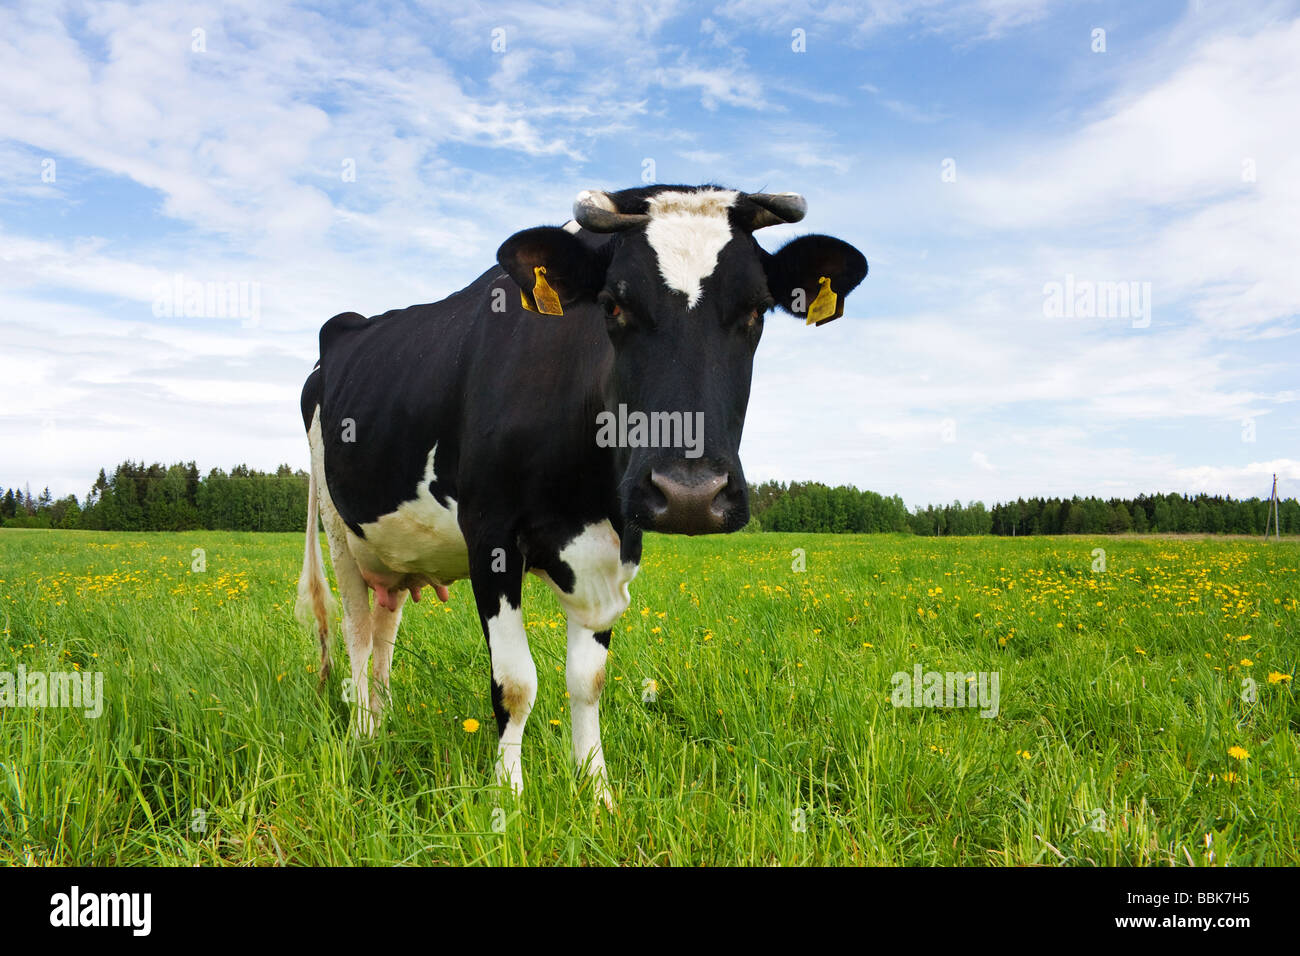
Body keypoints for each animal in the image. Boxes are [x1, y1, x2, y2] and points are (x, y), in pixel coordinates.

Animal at [295, 184, 867, 806]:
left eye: (758, 310)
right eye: (614, 306)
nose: (691, 493)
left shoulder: (616, 544)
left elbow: (588, 681)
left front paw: (597, 795)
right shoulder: (490, 535)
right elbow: (515, 684)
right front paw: (510, 800)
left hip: (394, 556)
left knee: (384, 629)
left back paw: (382, 722)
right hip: (338, 529)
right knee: (355, 633)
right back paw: (362, 737)